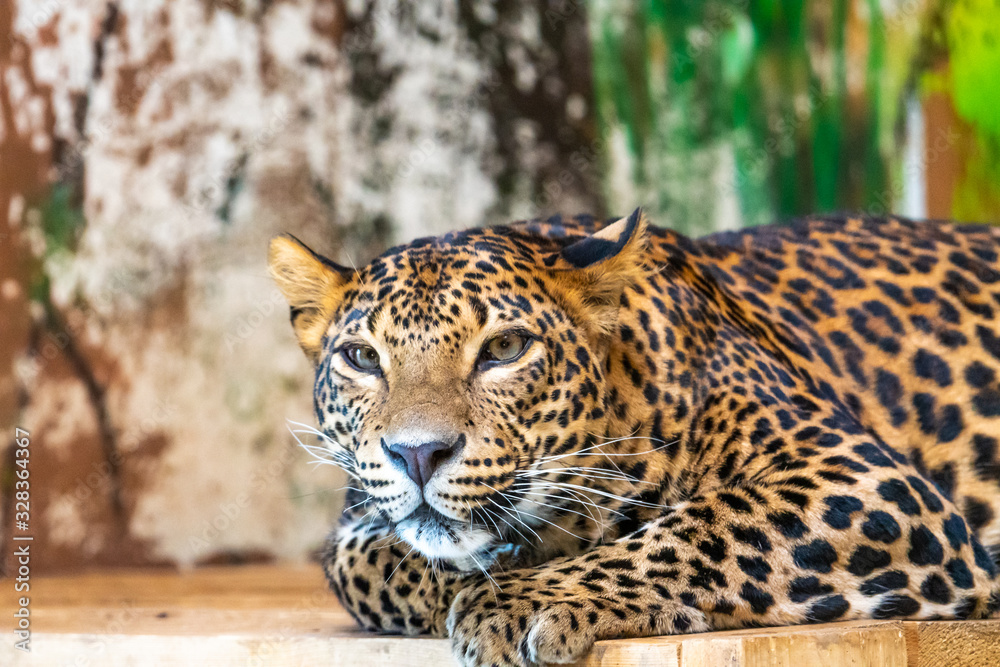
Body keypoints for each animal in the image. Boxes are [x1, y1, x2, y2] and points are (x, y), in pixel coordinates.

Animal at [269, 210, 1000, 667]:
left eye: (504, 348)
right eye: (362, 358)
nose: (417, 454)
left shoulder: (864, 478)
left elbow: (704, 530)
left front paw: (521, 599)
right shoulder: (356, 521)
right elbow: (382, 564)